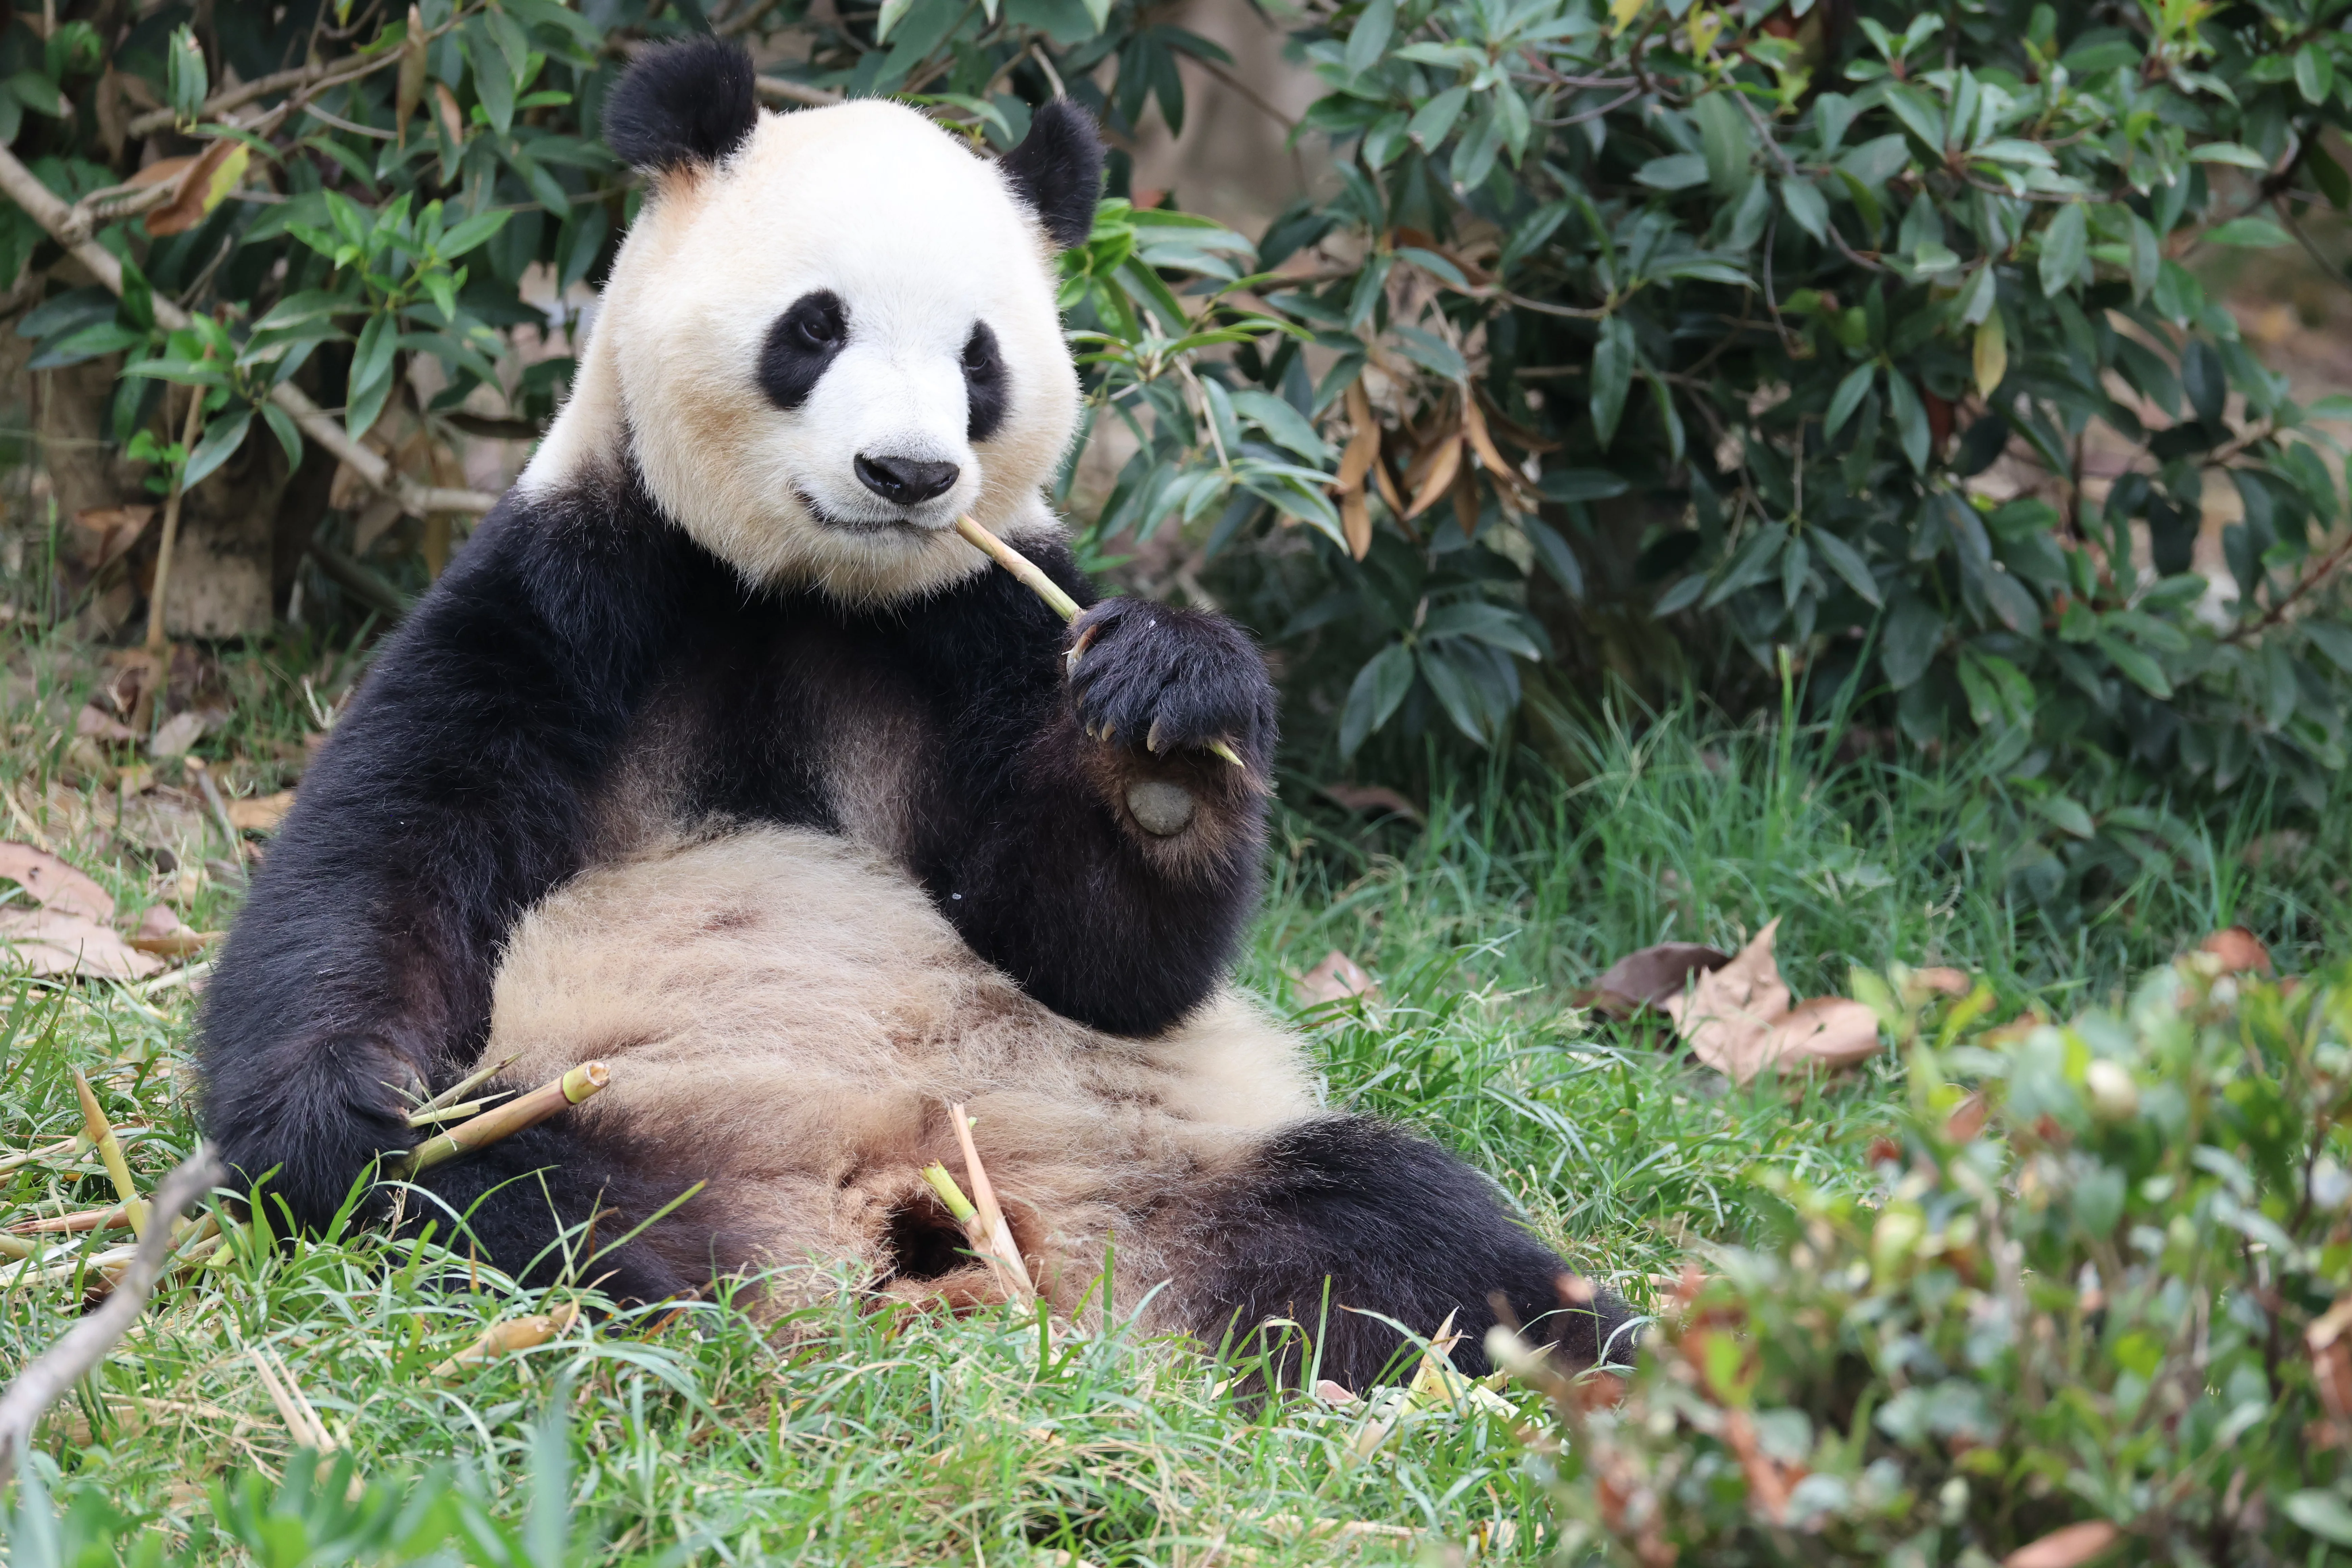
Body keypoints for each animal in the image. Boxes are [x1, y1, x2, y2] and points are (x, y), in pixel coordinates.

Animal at [195, 37, 1635, 1390]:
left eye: (978, 359)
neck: (804, 593)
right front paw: (342, 1110)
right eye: (814, 327)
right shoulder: (572, 592)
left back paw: (1585, 1363)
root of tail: (916, 1220)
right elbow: (388, 863)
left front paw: (1165, 737)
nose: (908, 473)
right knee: (509, 1202)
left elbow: (1100, 956)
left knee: (1399, 1226)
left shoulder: (985, 632)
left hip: (1150, 1150)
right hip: (620, 1107)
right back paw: (653, 1307)